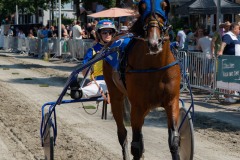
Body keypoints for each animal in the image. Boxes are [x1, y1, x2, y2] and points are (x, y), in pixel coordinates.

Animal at [103, 0, 182, 160]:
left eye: (164, 6)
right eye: (143, 6)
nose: (154, 42)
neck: (156, 67)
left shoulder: (172, 101)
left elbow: (174, 141)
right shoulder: (138, 106)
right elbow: (136, 146)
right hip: (116, 96)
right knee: (123, 133)